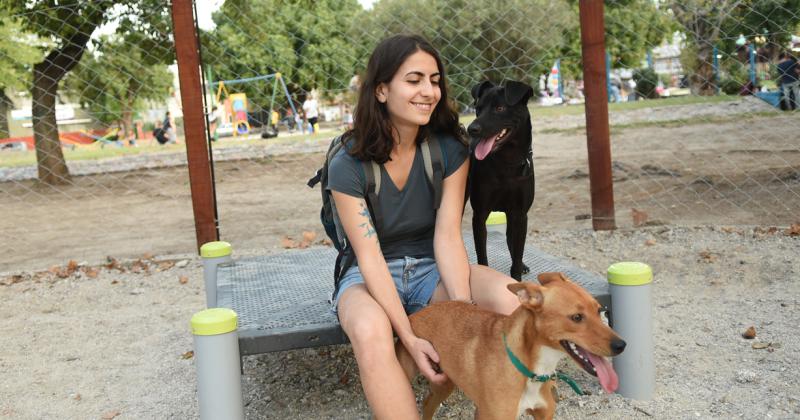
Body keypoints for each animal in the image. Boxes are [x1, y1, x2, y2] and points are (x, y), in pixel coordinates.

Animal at [398, 272, 624, 420]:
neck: (532, 371)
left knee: (428, 404)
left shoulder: (543, 415)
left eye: (599, 310)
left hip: (444, 382)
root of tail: (416, 314)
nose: (621, 345)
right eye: (576, 317)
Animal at [466, 80, 536, 280]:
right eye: (478, 108)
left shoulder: (520, 214)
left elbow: (517, 252)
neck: (506, 162)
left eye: (500, 108)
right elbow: (482, 256)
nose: (472, 129)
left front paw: (517, 276)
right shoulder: (479, 215)